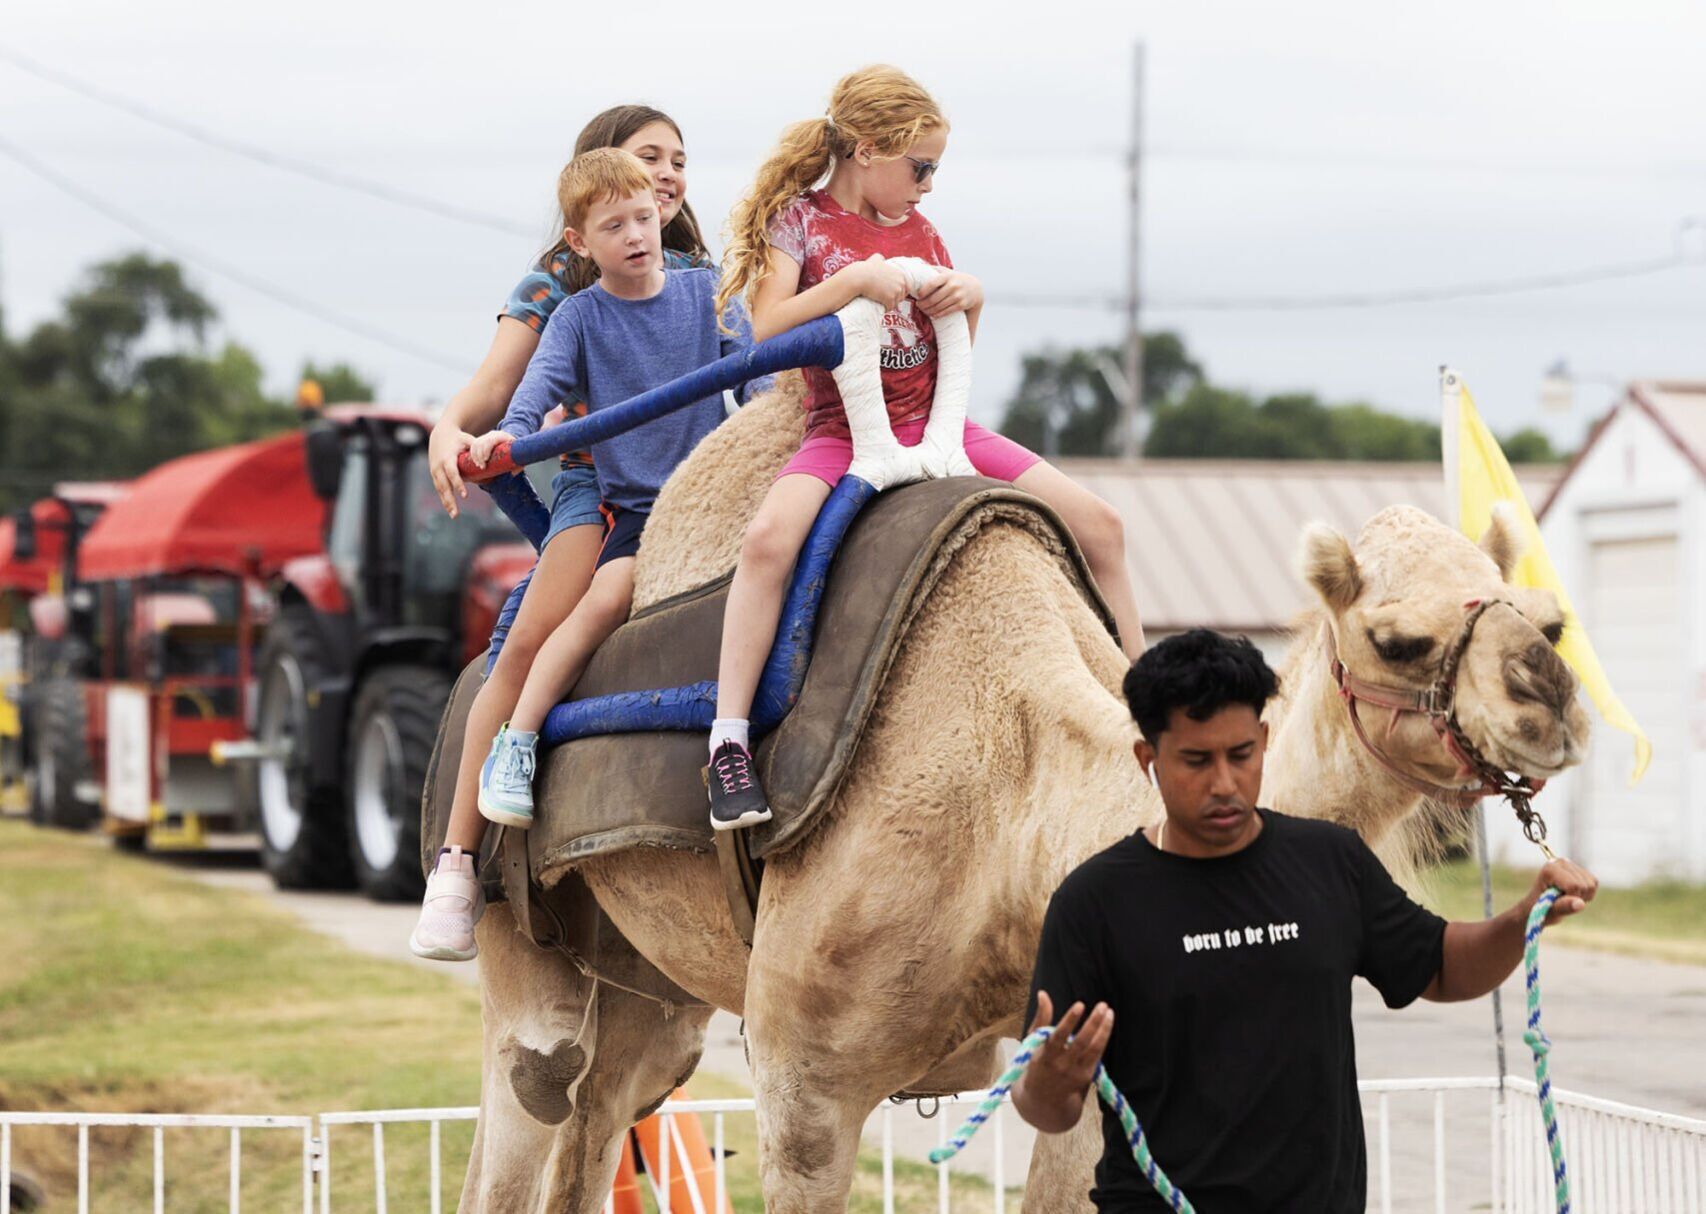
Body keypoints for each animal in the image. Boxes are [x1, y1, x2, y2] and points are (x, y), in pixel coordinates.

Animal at [444, 377, 1590, 1212]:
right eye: (1398, 639)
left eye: (1543, 615)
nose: (1551, 700)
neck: (1017, 818)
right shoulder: (803, 1083)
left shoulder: (1087, 1056)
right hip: (519, 924)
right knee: (533, 1090)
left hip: (655, 987)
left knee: (605, 1102)